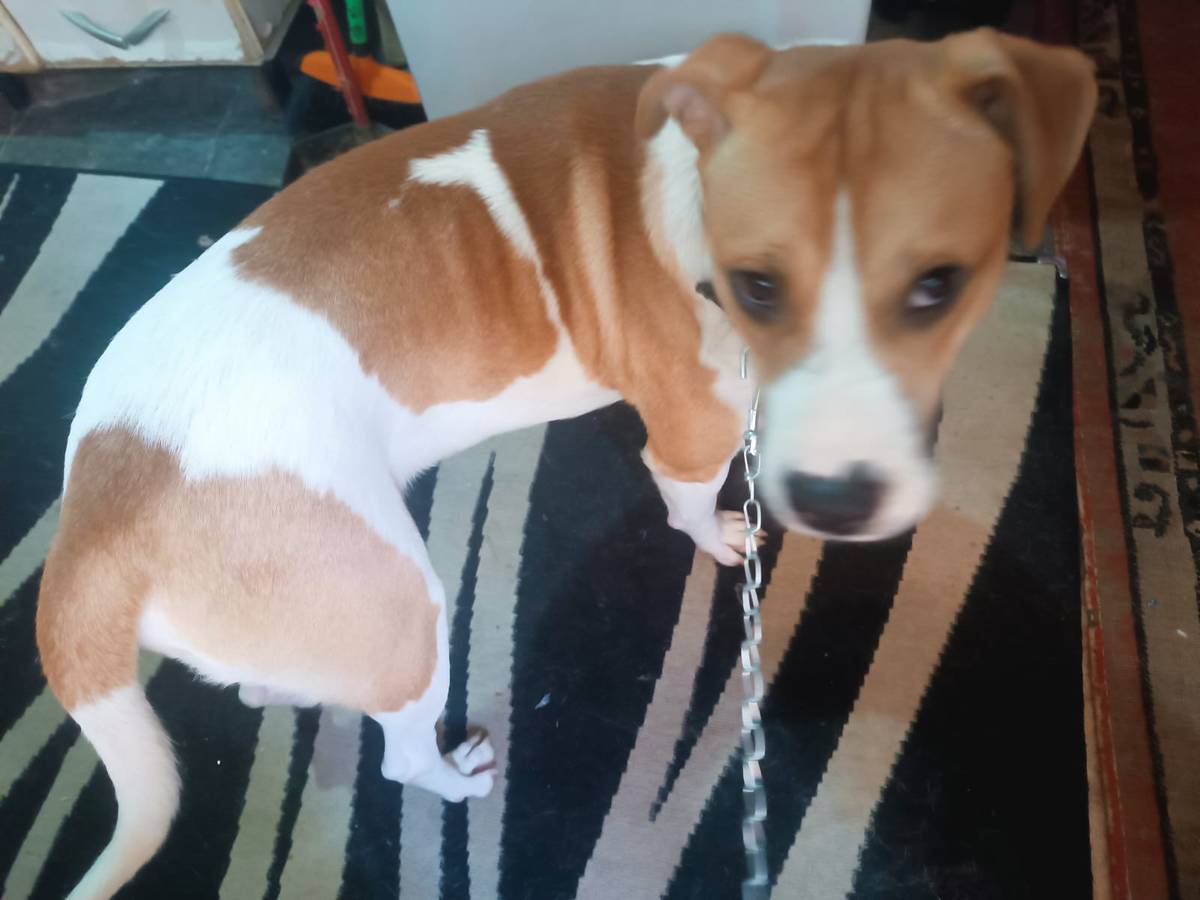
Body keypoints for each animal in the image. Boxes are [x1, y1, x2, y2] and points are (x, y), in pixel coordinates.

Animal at [35, 29, 1094, 899]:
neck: (683, 195)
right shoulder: (689, 437)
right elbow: (687, 505)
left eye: (938, 287)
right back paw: (453, 775)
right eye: (758, 286)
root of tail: (94, 519)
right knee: (398, 755)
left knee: (269, 686)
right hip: (406, 613)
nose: (838, 498)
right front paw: (718, 536)